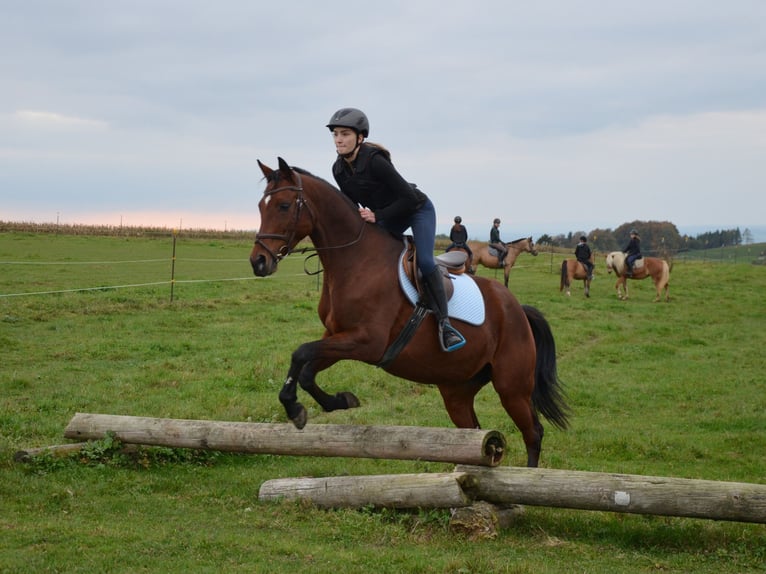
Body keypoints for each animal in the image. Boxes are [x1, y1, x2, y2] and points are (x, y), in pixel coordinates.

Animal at [250, 158, 569, 467]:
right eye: (261, 206)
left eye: (284, 205)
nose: (259, 262)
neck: (357, 261)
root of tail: (517, 308)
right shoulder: (338, 337)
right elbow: (305, 368)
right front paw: (338, 401)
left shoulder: (367, 342)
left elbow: (301, 353)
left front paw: (296, 408)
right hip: (457, 389)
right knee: (474, 432)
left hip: (512, 387)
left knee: (533, 432)